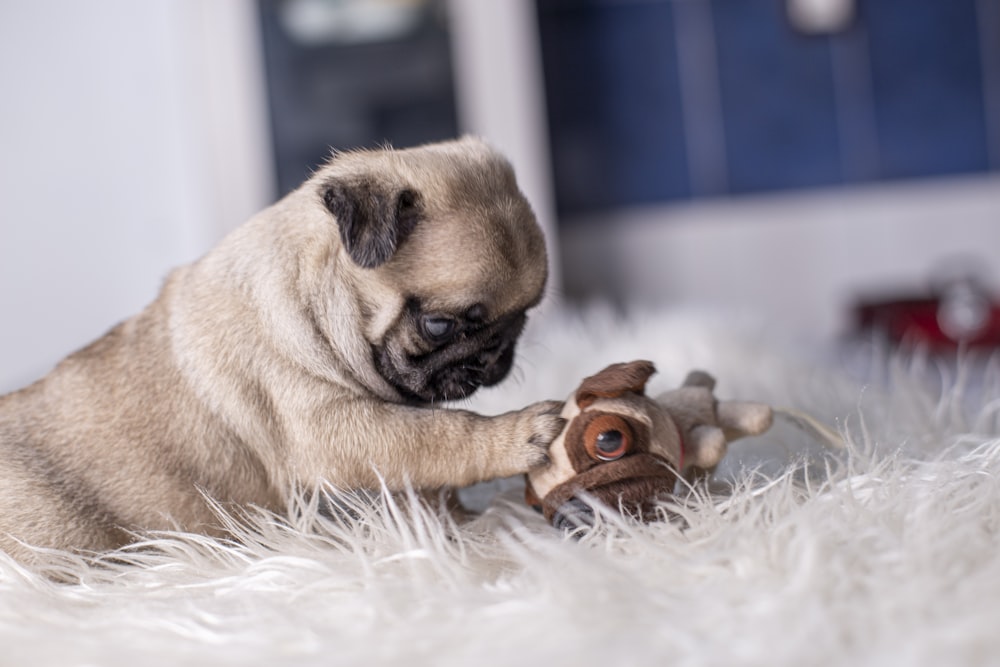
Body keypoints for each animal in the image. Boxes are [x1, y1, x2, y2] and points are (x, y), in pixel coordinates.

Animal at [0, 136, 564, 564]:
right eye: (440, 325)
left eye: (525, 317)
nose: (494, 356)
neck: (317, 299)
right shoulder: (333, 429)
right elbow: (443, 436)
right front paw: (518, 435)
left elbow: (427, 477)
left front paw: (461, 523)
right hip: (61, 540)